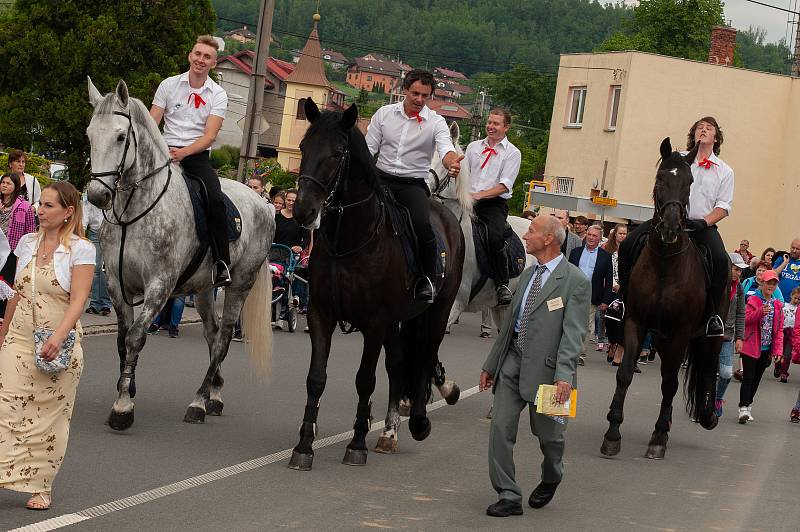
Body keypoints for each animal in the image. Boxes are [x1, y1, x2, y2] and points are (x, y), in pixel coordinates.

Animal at [86, 77, 276, 430]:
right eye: (90, 134)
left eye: (121, 137)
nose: (95, 196)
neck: (135, 211)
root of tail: (265, 205)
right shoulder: (118, 285)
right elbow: (122, 339)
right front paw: (127, 387)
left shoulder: (159, 287)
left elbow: (135, 337)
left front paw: (122, 407)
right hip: (202, 290)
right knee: (212, 334)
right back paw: (214, 394)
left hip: (239, 285)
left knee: (224, 338)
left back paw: (199, 402)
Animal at [288, 100, 466, 470]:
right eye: (303, 147)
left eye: (337, 153)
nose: (303, 211)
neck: (351, 239)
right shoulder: (321, 314)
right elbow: (316, 378)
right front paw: (304, 445)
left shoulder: (375, 322)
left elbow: (365, 380)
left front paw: (356, 444)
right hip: (399, 321)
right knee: (398, 365)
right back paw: (389, 432)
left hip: (437, 311)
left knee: (425, 356)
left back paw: (418, 421)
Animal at [604, 139, 728, 460]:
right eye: (661, 178)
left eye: (690, 182)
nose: (671, 227)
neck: (665, 263)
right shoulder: (636, 322)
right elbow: (625, 373)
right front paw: (613, 432)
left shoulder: (682, 331)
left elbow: (671, 382)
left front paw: (658, 437)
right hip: (661, 336)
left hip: (707, 335)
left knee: (707, 367)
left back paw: (707, 416)